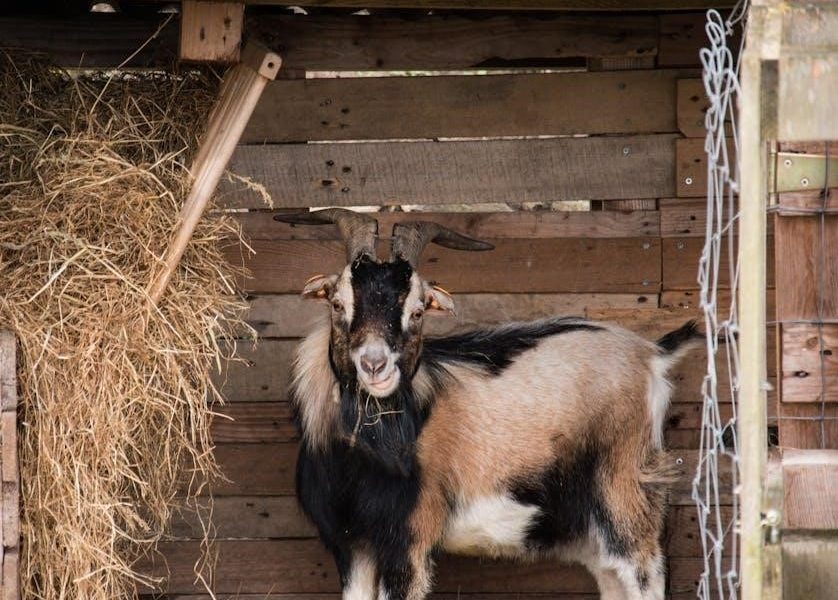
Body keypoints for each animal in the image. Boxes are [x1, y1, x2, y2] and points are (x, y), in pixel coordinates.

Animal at [275, 208, 701, 600]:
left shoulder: (409, 538)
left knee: (644, 574)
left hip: (626, 493)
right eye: (336, 303)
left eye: (418, 310)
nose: (375, 364)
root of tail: (652, 353)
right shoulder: (351, 544)